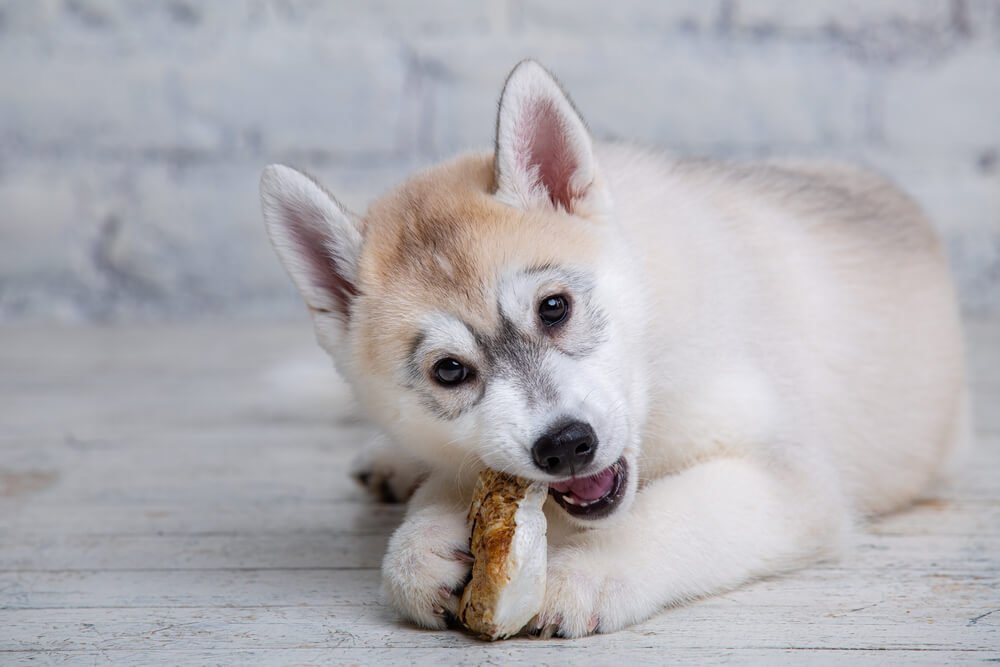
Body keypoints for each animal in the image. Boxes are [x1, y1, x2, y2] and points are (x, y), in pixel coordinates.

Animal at [258, 58, 968, 636]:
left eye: (554, 308)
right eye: (450, 371)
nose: (566, 446)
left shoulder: (787, 476)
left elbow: (668, 514)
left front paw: (586, 574)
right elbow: (446, 489)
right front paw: (421, 549)